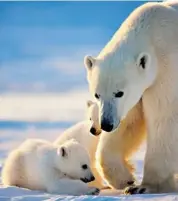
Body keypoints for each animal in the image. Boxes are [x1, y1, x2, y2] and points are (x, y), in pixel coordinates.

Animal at [84, 0, 178, 195]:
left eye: (119, 92)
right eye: (97, 94)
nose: (106, 124)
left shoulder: (168, 72)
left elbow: (165, 119)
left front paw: (145, 187)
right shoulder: (135, 96)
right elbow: (130, 123)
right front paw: (126, 180)